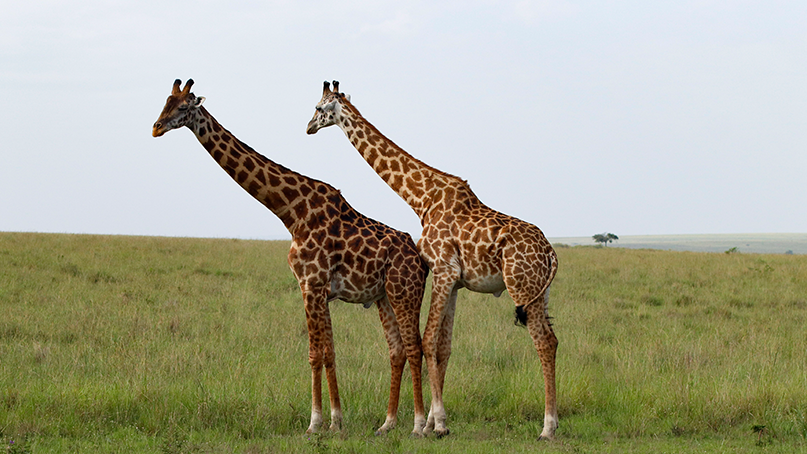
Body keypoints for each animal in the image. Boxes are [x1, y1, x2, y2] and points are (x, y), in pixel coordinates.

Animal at [152, 79, 429, 436]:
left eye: (184, 107)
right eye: (165, 102)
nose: (156, 127)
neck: (292, 212)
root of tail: (421, 260)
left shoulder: (312, 284)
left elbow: (316, 354)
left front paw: (316, 423)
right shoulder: (314, 288)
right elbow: (327, 352)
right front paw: (335, 421)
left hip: (405, 292)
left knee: (415, 347)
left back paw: (419, 425)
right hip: (384, 296)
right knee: (396, 350)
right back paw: (388, 423)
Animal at [307, 81, 560, 439]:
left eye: (319, 108)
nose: (308, 127)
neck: (421, 197)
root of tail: (550, 252)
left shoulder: (442, 270)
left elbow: (426, 340)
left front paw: (435, 424)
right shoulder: (454, 281)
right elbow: (442, 347)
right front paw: (431, 422)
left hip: (522, 287)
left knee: (544, 342)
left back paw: (548, 427)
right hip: (541, 292)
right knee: (552, 340)